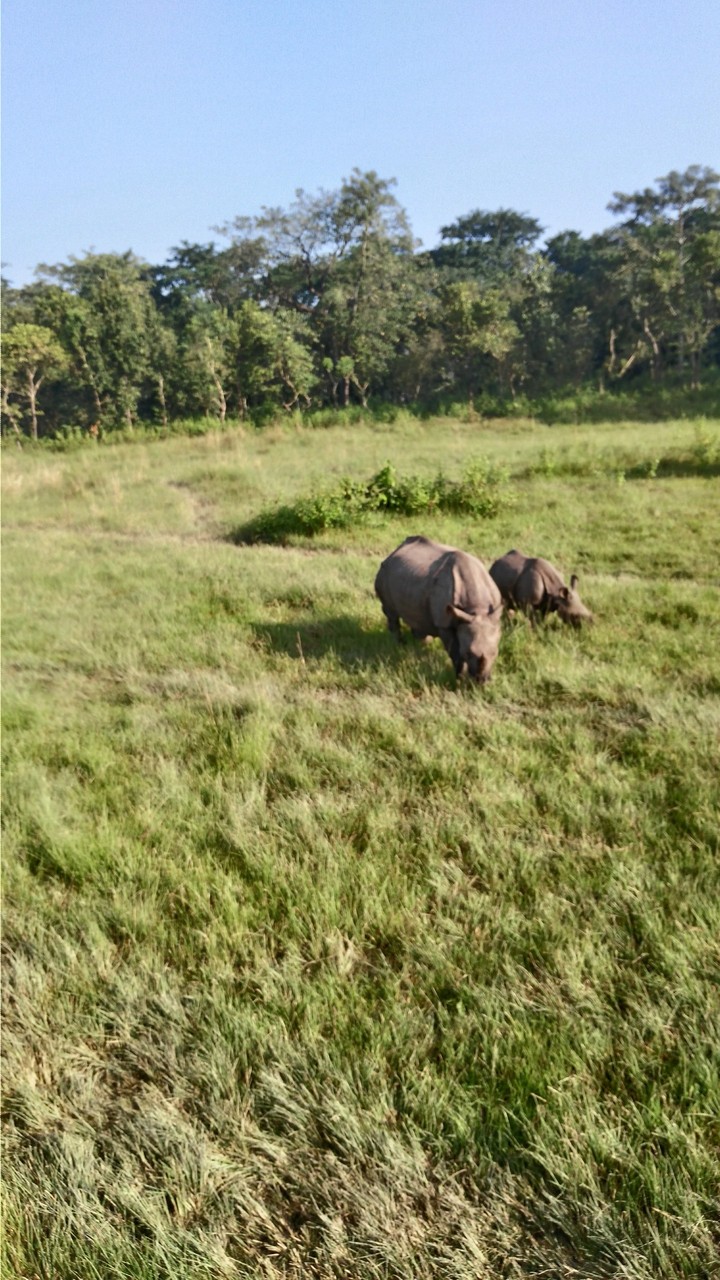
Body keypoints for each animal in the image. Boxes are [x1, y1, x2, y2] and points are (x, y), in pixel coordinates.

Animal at [375, 535, 503, 683]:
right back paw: (399, 646)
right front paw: (459, 679)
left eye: (495, 653)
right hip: (384, 573)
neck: (477, 609)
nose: (481, 681)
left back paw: (421, 646)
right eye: (467, 653)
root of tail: (394, 551)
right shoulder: (444, 623)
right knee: (391, 614)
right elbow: (455, 653)